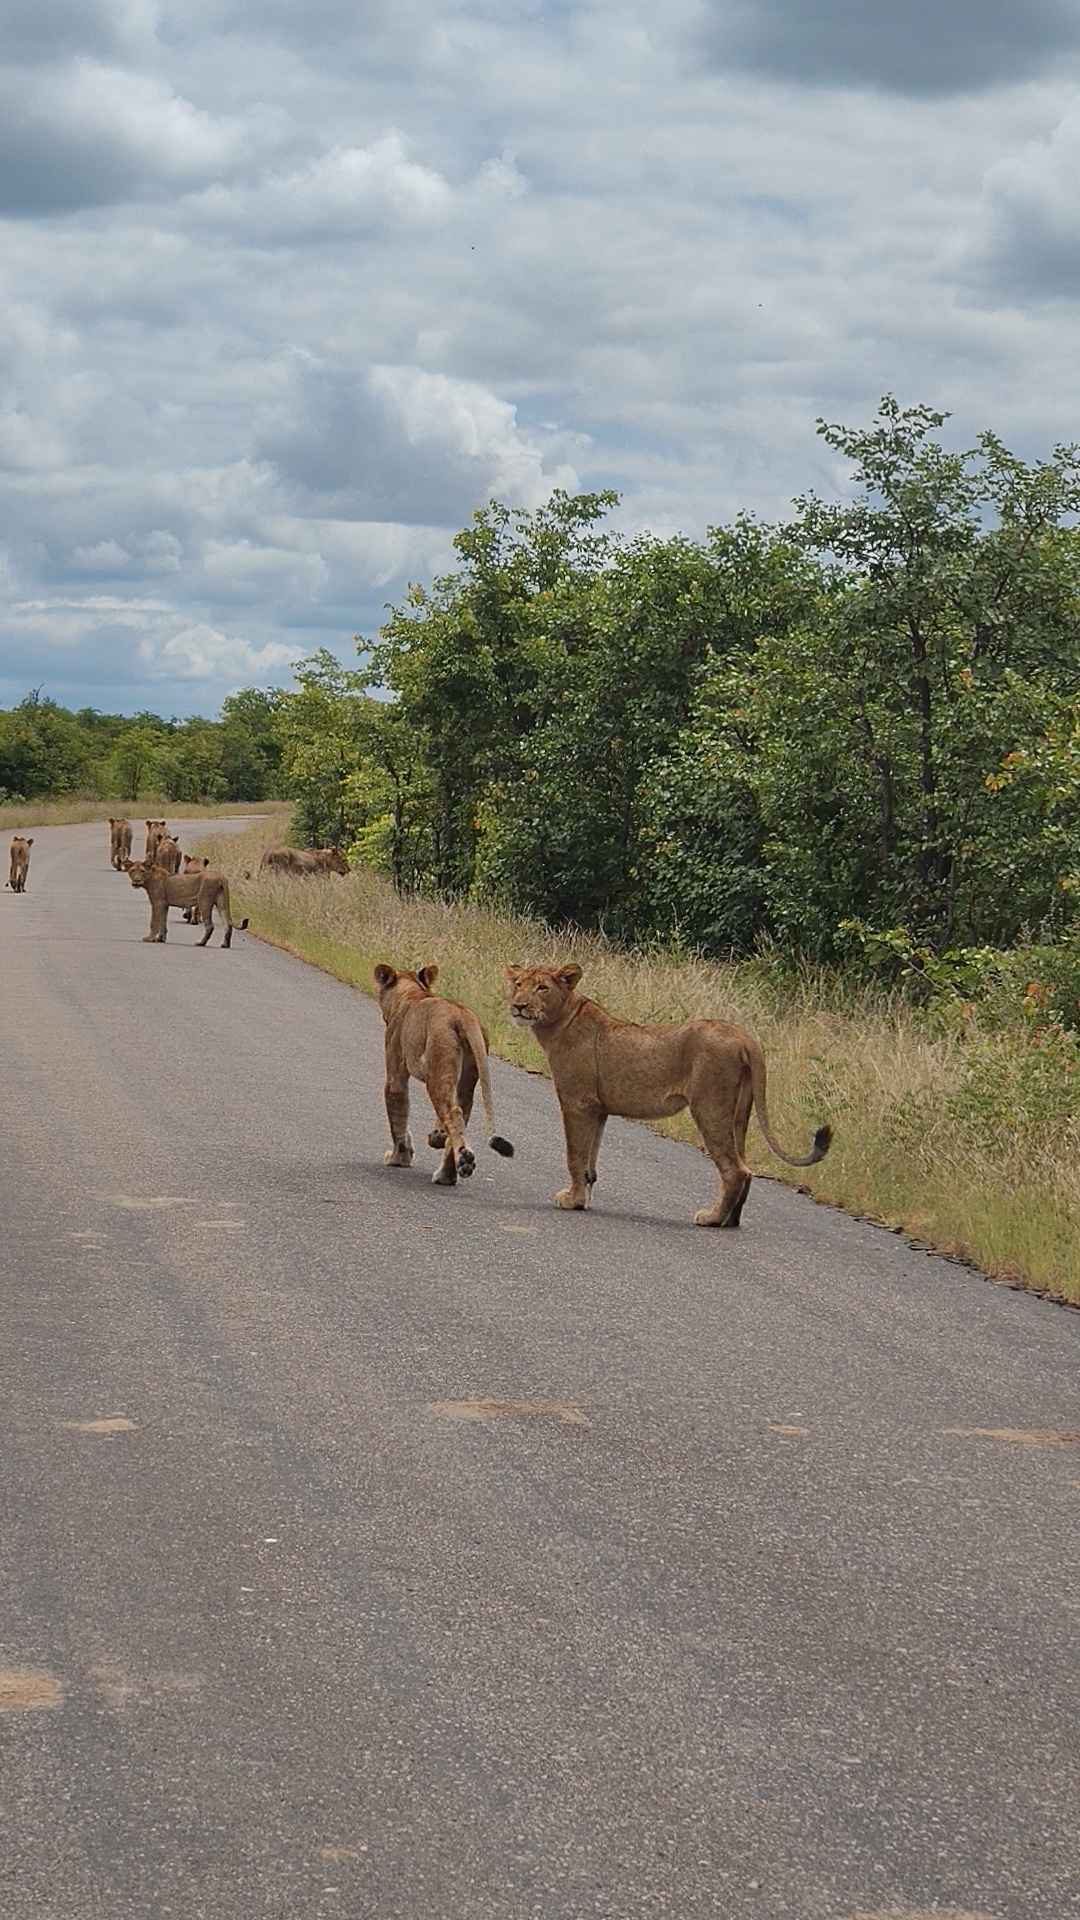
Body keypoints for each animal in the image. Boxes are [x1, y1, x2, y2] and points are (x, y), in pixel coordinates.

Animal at [374, 963, 514, 1185]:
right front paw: (437, 1135)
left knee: (452, 1113)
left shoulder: (395, 1076)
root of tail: (462, 1014)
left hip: (437, 1071)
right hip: (467, 1073)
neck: (412, 992)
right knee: (461, 1111)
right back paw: (448, 1172)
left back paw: (462, 1160)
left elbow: (398, 1119)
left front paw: (397, 1158)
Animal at [505, 963, 830, 1228]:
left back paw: (712, 1218)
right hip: (739, 1114)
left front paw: (571, 1200)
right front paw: (581, 1199)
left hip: (709, 1107)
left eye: (542, 987)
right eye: (518, 984)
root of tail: (744, 1037)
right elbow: (589, 1162)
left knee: (735, 1169)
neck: (557, 1023)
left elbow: (574, 1155)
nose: (518, 1006)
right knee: (746, 1168)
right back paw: (729, 1220)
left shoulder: (577, 1103)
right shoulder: (598, 1110)